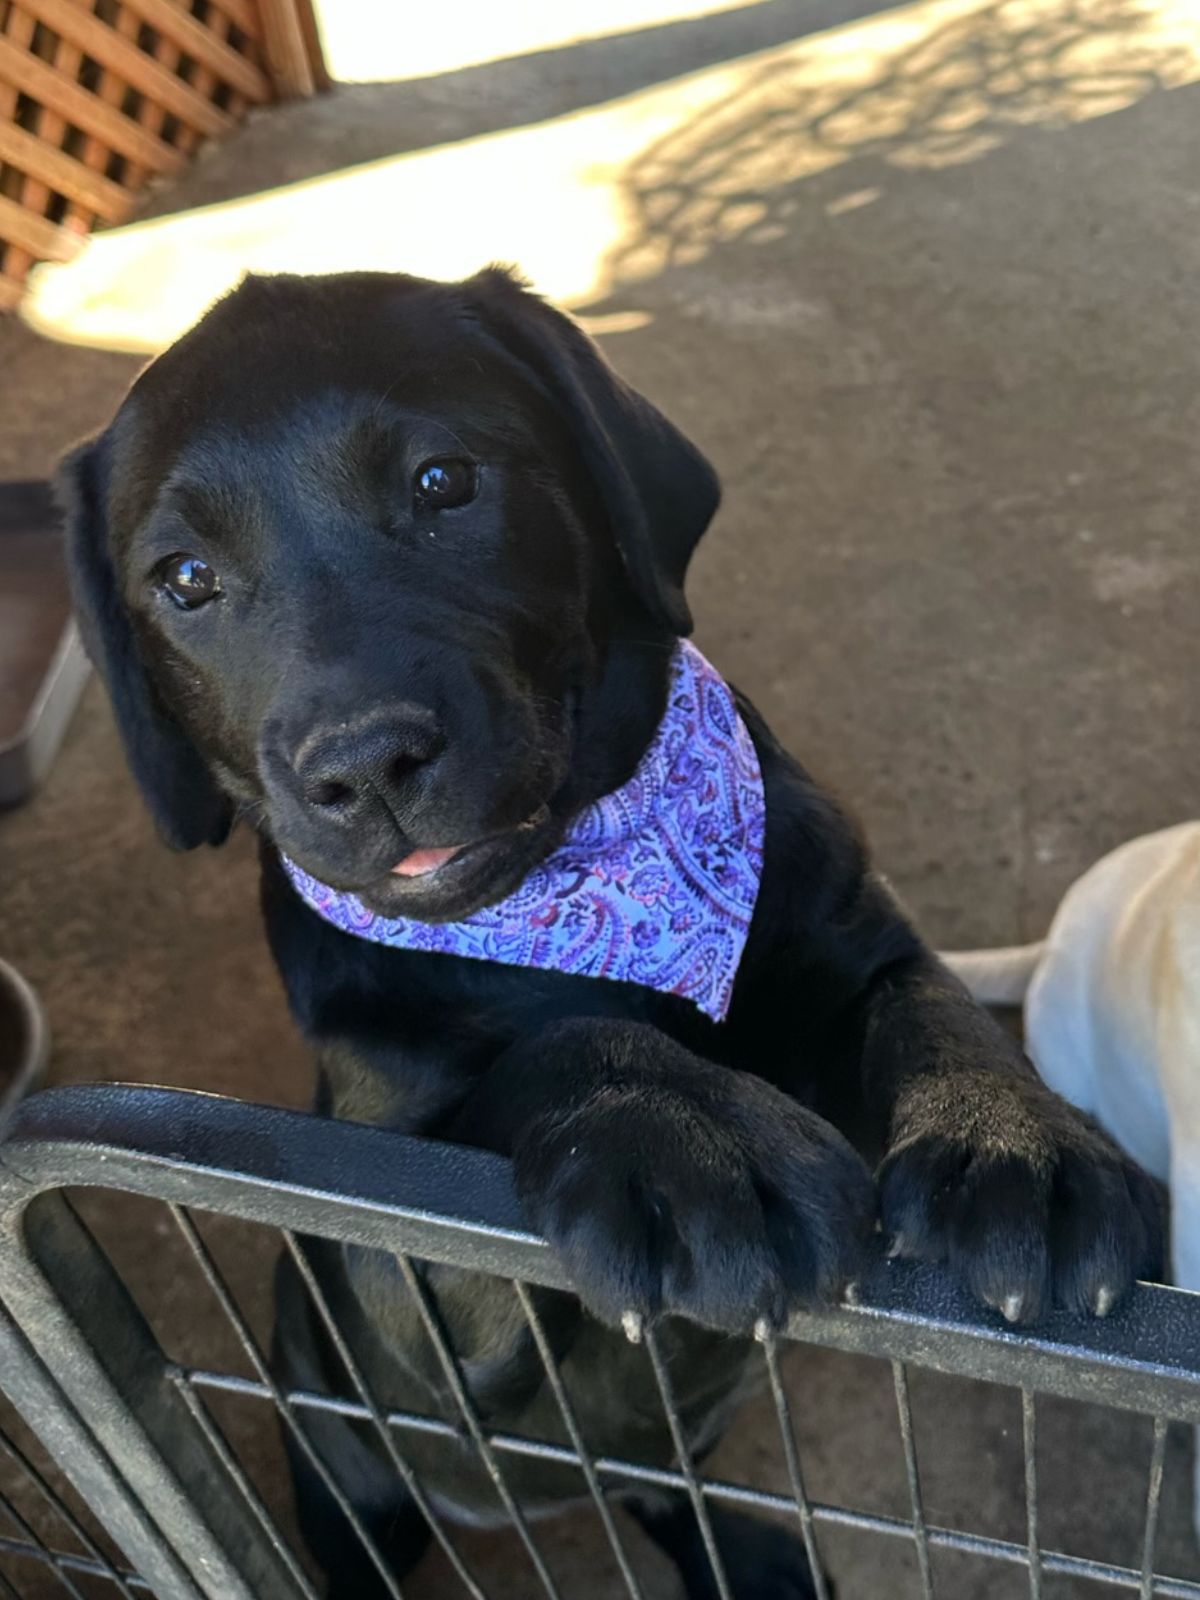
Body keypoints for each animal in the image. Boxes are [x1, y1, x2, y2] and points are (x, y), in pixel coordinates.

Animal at [63, 272, 1164, 1600]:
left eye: (444, 480)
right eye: (183, 579)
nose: (363, 764)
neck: (569, 901)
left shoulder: (855, 933)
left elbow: (929, 1000)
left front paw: (1016, 1145)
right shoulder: (394, 1263)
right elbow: (557, 1051)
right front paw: (685, 1131)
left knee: (661, 1490)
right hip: (341, 1433)